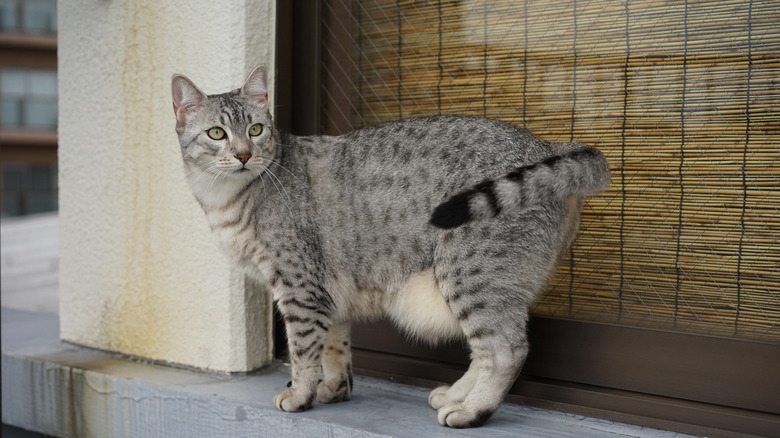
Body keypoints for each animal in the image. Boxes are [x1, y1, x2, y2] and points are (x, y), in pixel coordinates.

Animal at [171, 66, 608, 428]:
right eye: (216, 133)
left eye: (257, 130)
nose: (244, 154)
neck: (225, 200)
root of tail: (545, 144)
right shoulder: (327, 290)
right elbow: (334, 346)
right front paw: (333, 389)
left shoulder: (300, 287)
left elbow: (302, 349)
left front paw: (299, 395)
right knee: (484, 349)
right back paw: (456, 395)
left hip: (470, 270)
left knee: (506, 349)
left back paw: (471, 411)